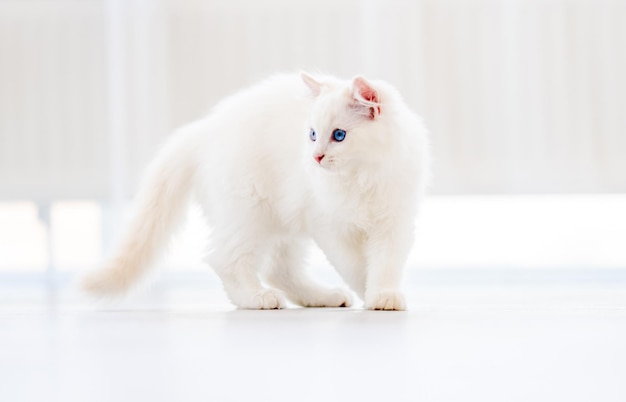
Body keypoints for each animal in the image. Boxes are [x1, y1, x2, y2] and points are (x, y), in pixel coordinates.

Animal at [80, 72, 426, 310]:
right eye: (313, 135)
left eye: (339, 135)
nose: (316, 157)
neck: (361, 178)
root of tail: (204, 129)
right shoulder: (330, 226)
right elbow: (356, 266)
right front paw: (368, 291)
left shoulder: (394, 223)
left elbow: (385, 264)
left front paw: (383, 295)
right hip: (248, 213)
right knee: (226, 260)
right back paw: (256, 297)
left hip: (283, 223)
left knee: (279, 270)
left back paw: (322, 296)